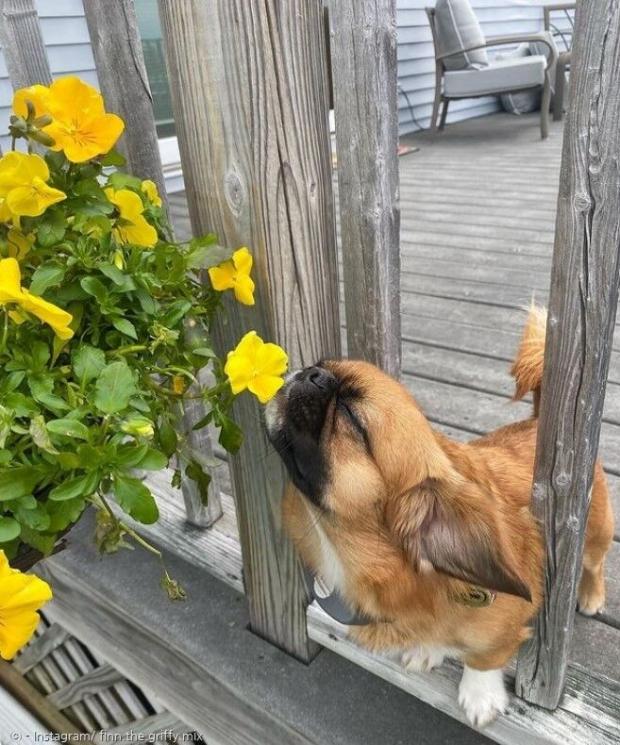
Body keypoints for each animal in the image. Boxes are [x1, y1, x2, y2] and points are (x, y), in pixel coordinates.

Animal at [264, 306, 612, 728]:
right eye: (320, 365)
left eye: (350, 414)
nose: (312, 372)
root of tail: (536, 420)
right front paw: (429, 649)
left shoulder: (503, 629)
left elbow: (484, 657)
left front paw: (479, 695)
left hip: (594, 538)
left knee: (595, 565)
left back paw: (591, 596)